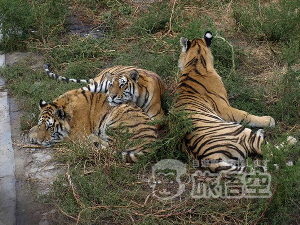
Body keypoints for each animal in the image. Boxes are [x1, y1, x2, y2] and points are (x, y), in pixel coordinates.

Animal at [28, 89, 158, 163]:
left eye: (50, 127)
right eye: (40, 126)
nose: (40, 141)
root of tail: (153, 145)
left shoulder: (77, 135)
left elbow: (60, 139)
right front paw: (32, 133)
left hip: (117, 123)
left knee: (110, 148)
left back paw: (93, 138)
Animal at [175, 31, 292, 174]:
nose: (178, 62)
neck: (195, 63)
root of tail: (209, 159)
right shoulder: (225, 109)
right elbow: (247, 115)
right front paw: (269, 120)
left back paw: (263, 133)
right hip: (240, 131)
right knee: (269, 150)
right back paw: (291, 140)